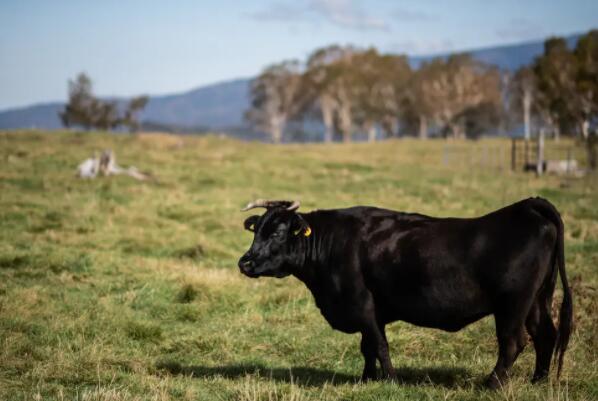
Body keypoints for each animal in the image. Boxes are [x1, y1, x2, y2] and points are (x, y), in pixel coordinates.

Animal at [237, 197, 576, 388]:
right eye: (257, 230)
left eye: (278, 232)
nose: (245, 262)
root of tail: (527, 206)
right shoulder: (372, 312)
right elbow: (368, 347)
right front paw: (366, 380)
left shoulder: (363, 306)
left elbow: (379, 346)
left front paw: (392, 380)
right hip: (538, 299)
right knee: (545, 335)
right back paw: (538, 381)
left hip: (513, 304)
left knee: (513, 342)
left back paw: (491, 385)